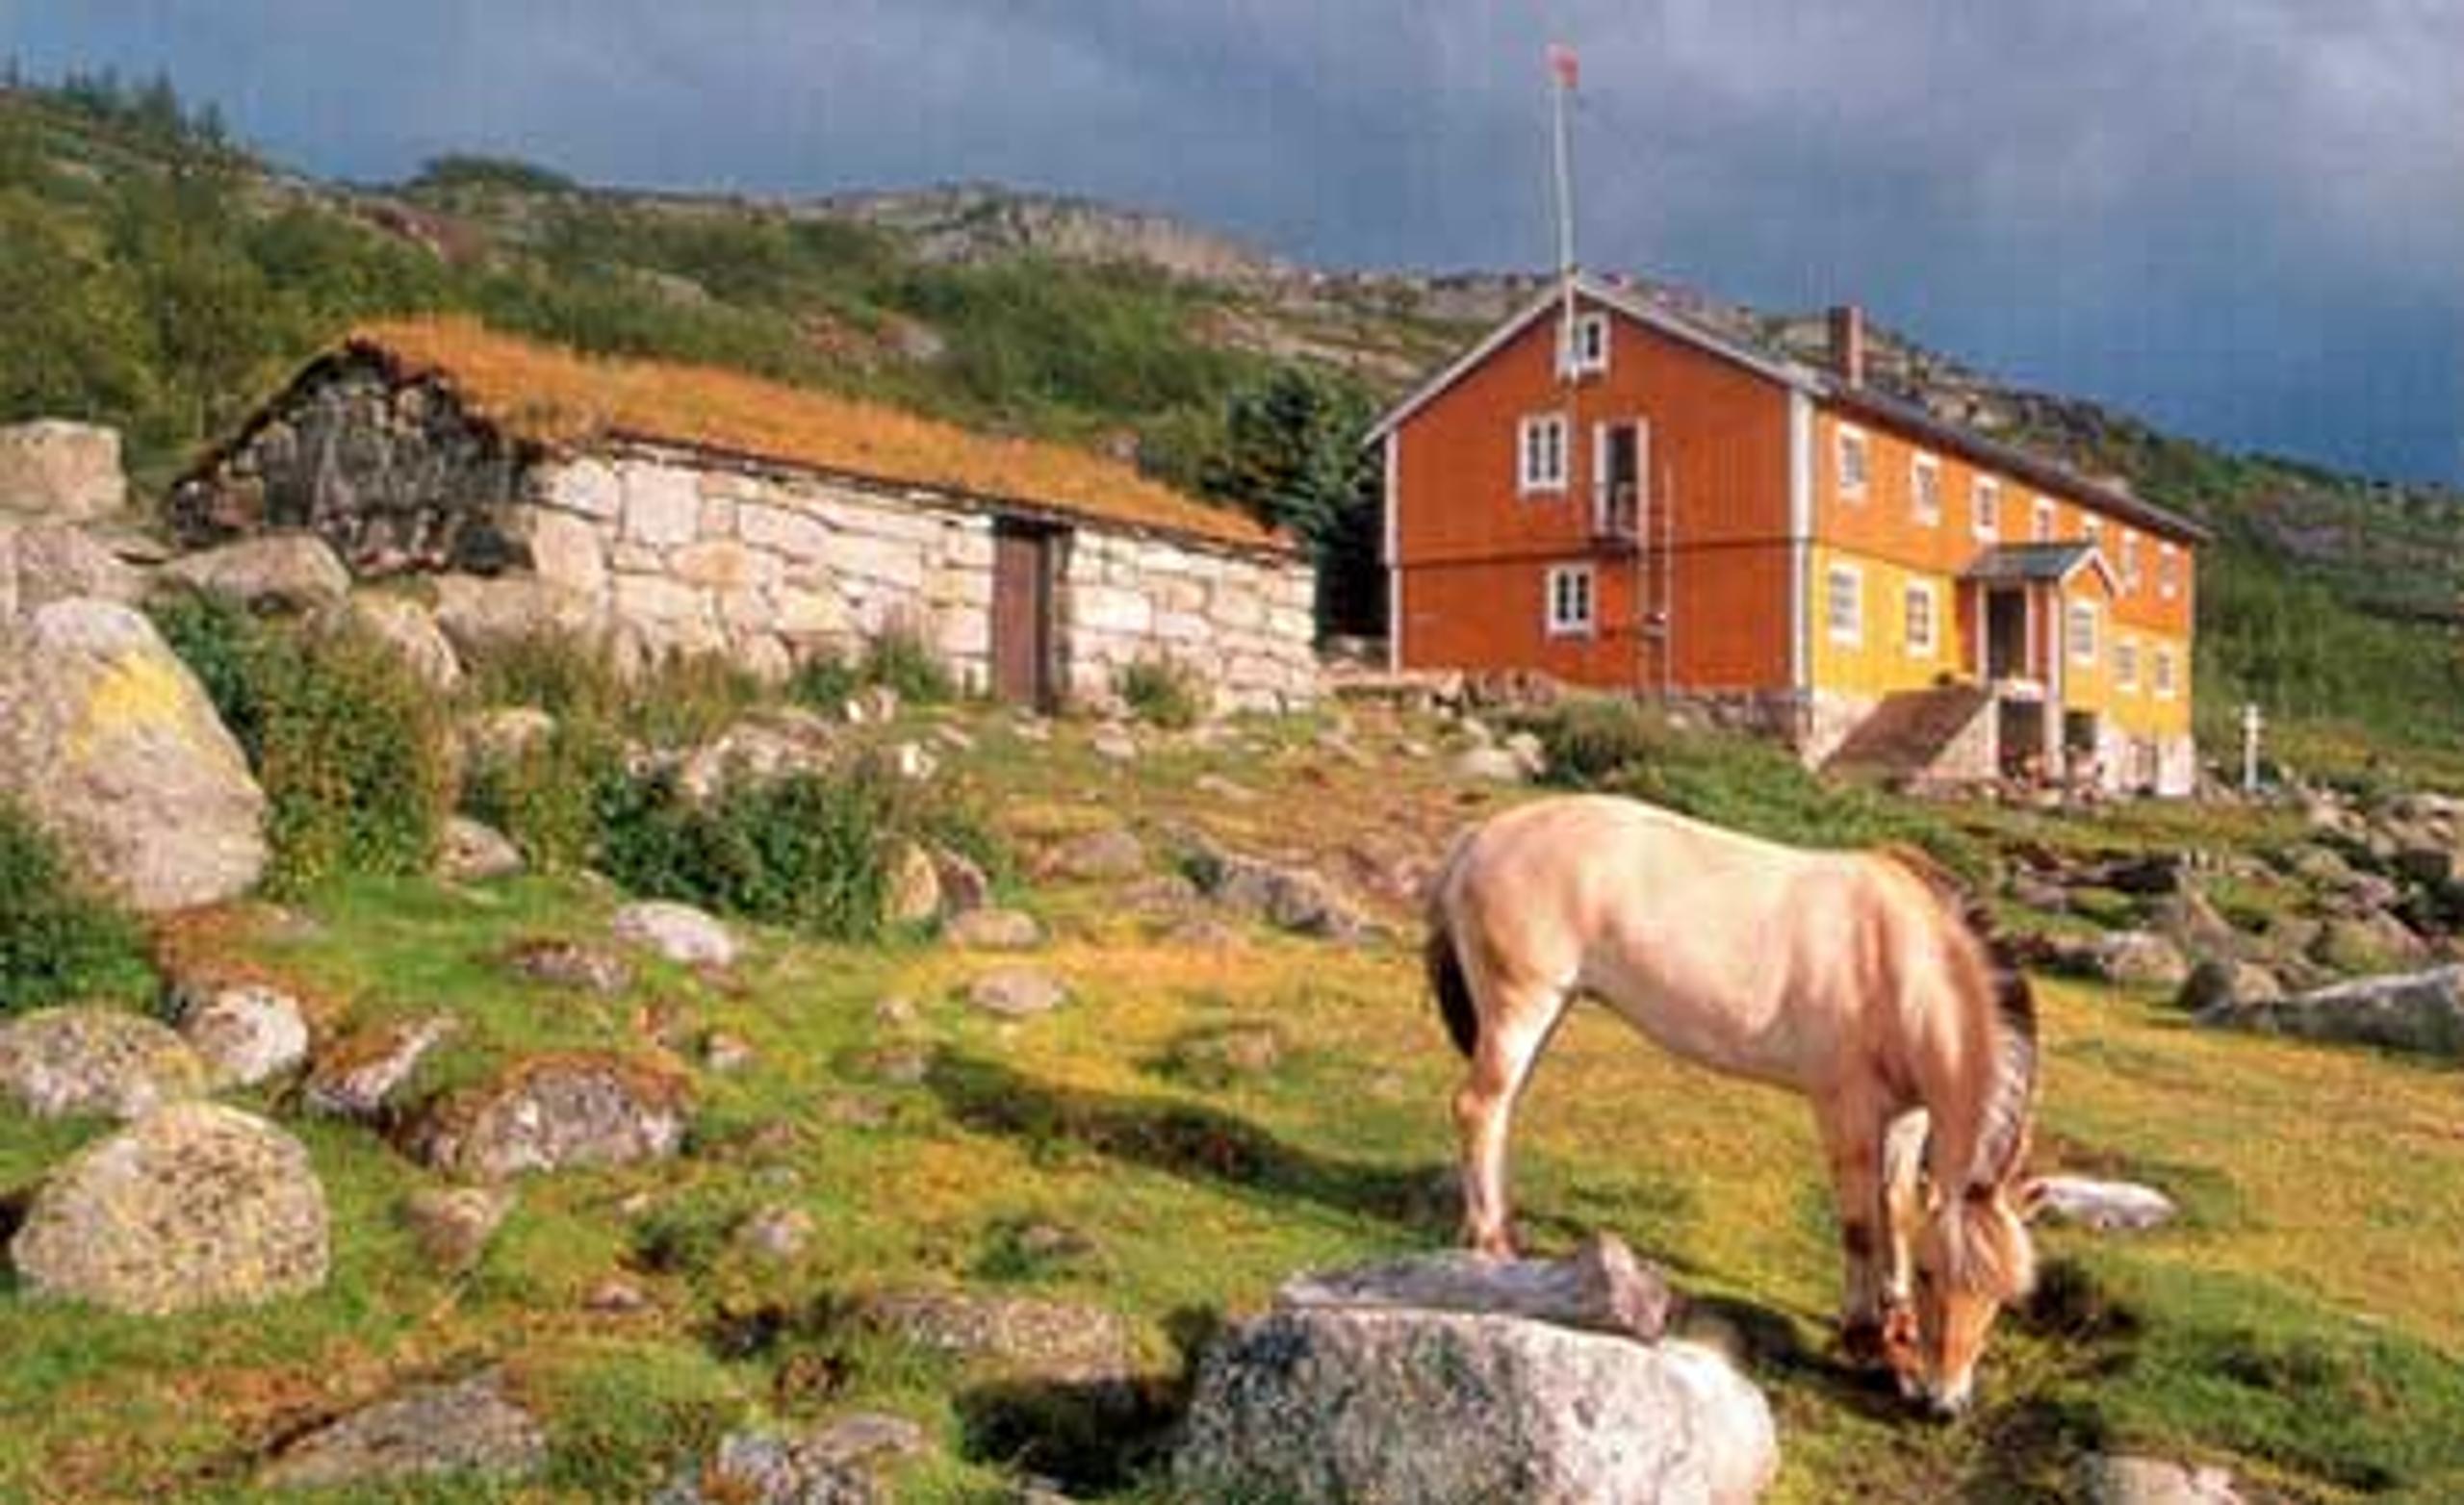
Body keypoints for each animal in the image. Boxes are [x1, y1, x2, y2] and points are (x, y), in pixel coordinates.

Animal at [1423, 792, 2043, 1415]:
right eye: (1932, 1274)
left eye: (2004, 1297)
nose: (1945, 1405)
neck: (1900, 960)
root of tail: (1482, 836)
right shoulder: (1845, 1105)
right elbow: (1860, 1224)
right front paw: (1866, 1338)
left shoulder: (1909, 1117)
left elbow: (1896, 1209)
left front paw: (1900, 1334)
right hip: (1522, 1005)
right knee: (1478, 1107)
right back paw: (1493, 1247)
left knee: (1502, 1110)